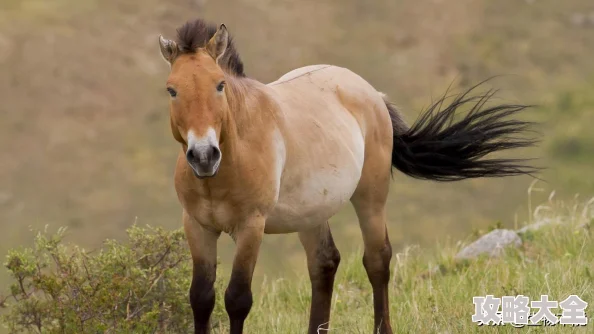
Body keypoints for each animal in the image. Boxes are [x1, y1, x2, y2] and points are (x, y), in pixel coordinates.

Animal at [157, 18, 536, 334]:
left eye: (220, 85)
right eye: (171, 90)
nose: (204, 155)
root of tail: (371, 93)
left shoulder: (251, 226)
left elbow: (237, 299)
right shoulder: (197, 225)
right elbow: (201, 298)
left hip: (371, 195)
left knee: (377, 260)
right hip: (310, 213)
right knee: (324, 264)